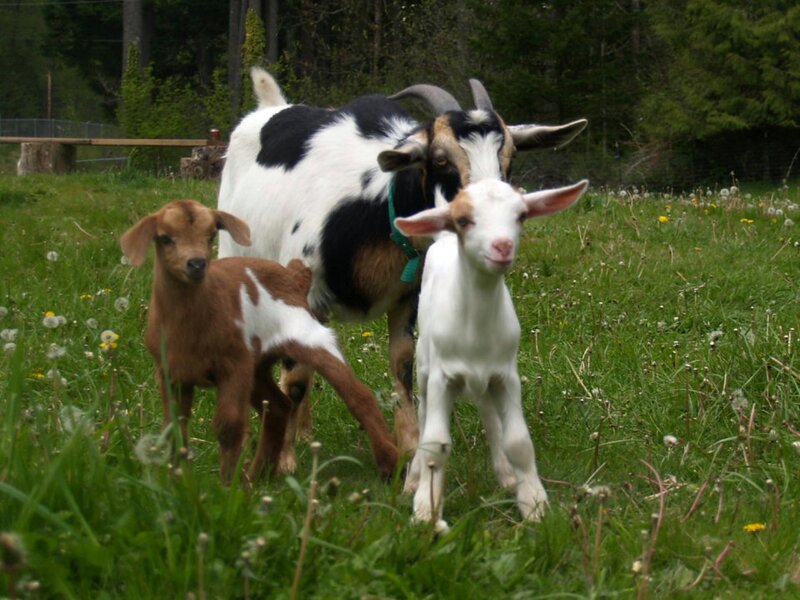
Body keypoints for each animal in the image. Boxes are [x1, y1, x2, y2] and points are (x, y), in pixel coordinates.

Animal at [120, 200, 398, 482]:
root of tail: (295, 275)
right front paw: (178, 482)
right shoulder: (170, 373)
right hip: (257, 367)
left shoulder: (234, 364)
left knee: (358, 394)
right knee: (278, 406)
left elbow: (228, 425)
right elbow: (174, 428)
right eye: (165, 238)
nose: (196, 264)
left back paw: (390, 465)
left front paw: (228, 485)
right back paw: (259, 475)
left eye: (211, 236)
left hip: (311, 339)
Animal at [218, 66, 588, 470]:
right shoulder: (305, 289)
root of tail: (271, 107)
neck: (377, 211)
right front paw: (284, 462)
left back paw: (304, 434)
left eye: (510, 156)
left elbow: (402, 363)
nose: (494, 226)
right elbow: (297, 374)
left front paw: (411, 448)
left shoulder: (408, 296)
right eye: (440, 159)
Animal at [394, 178, 588, 527]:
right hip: (424, 366)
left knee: (488, 411)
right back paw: (413, 479)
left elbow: (518, 441)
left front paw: (533, 503)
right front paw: (426, 508)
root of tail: (443, 240)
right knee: (424, 412)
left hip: (485, 379)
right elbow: (435, 444)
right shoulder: (442, 377)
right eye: (463, 219)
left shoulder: (506, 375)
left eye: (521, 215)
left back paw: (507, 475)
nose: (502, 246)